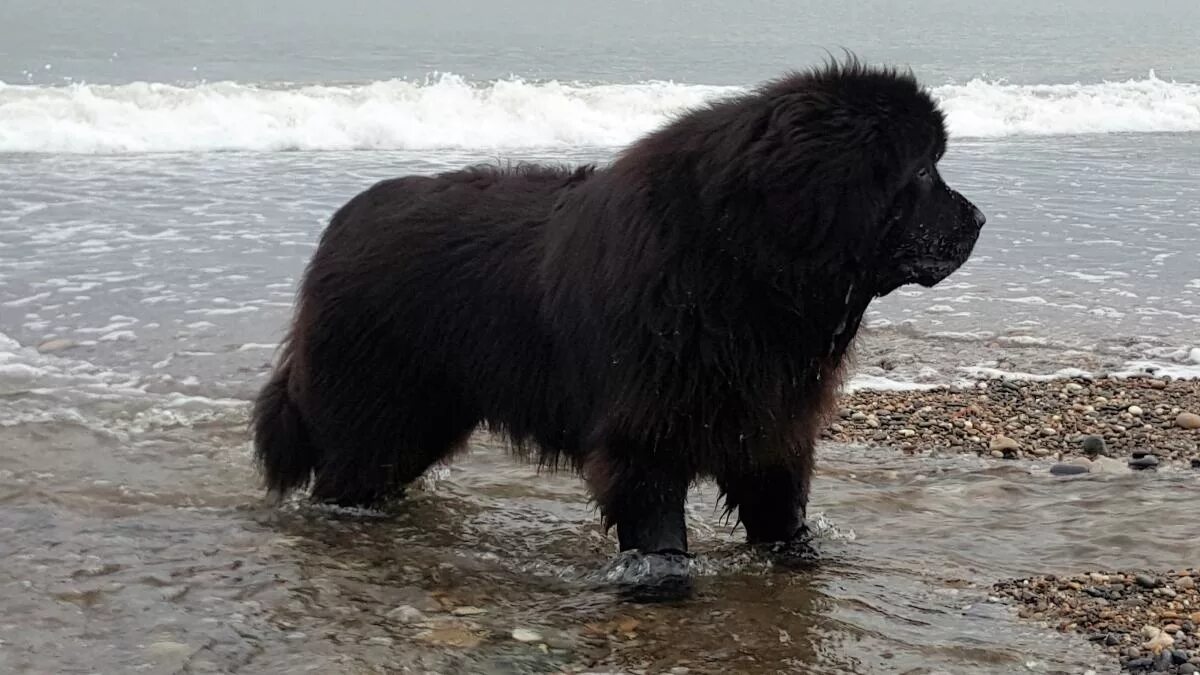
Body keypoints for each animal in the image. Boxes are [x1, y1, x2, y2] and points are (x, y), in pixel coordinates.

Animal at [253, 57, 984, 559]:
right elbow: (660, 536)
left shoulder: (771, 430)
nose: (979, 220)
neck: (743, 271)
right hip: (378, 414)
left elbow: (782, 517)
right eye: (921, 171)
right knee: (343, 478)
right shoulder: (644, 438)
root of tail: (341, 224)